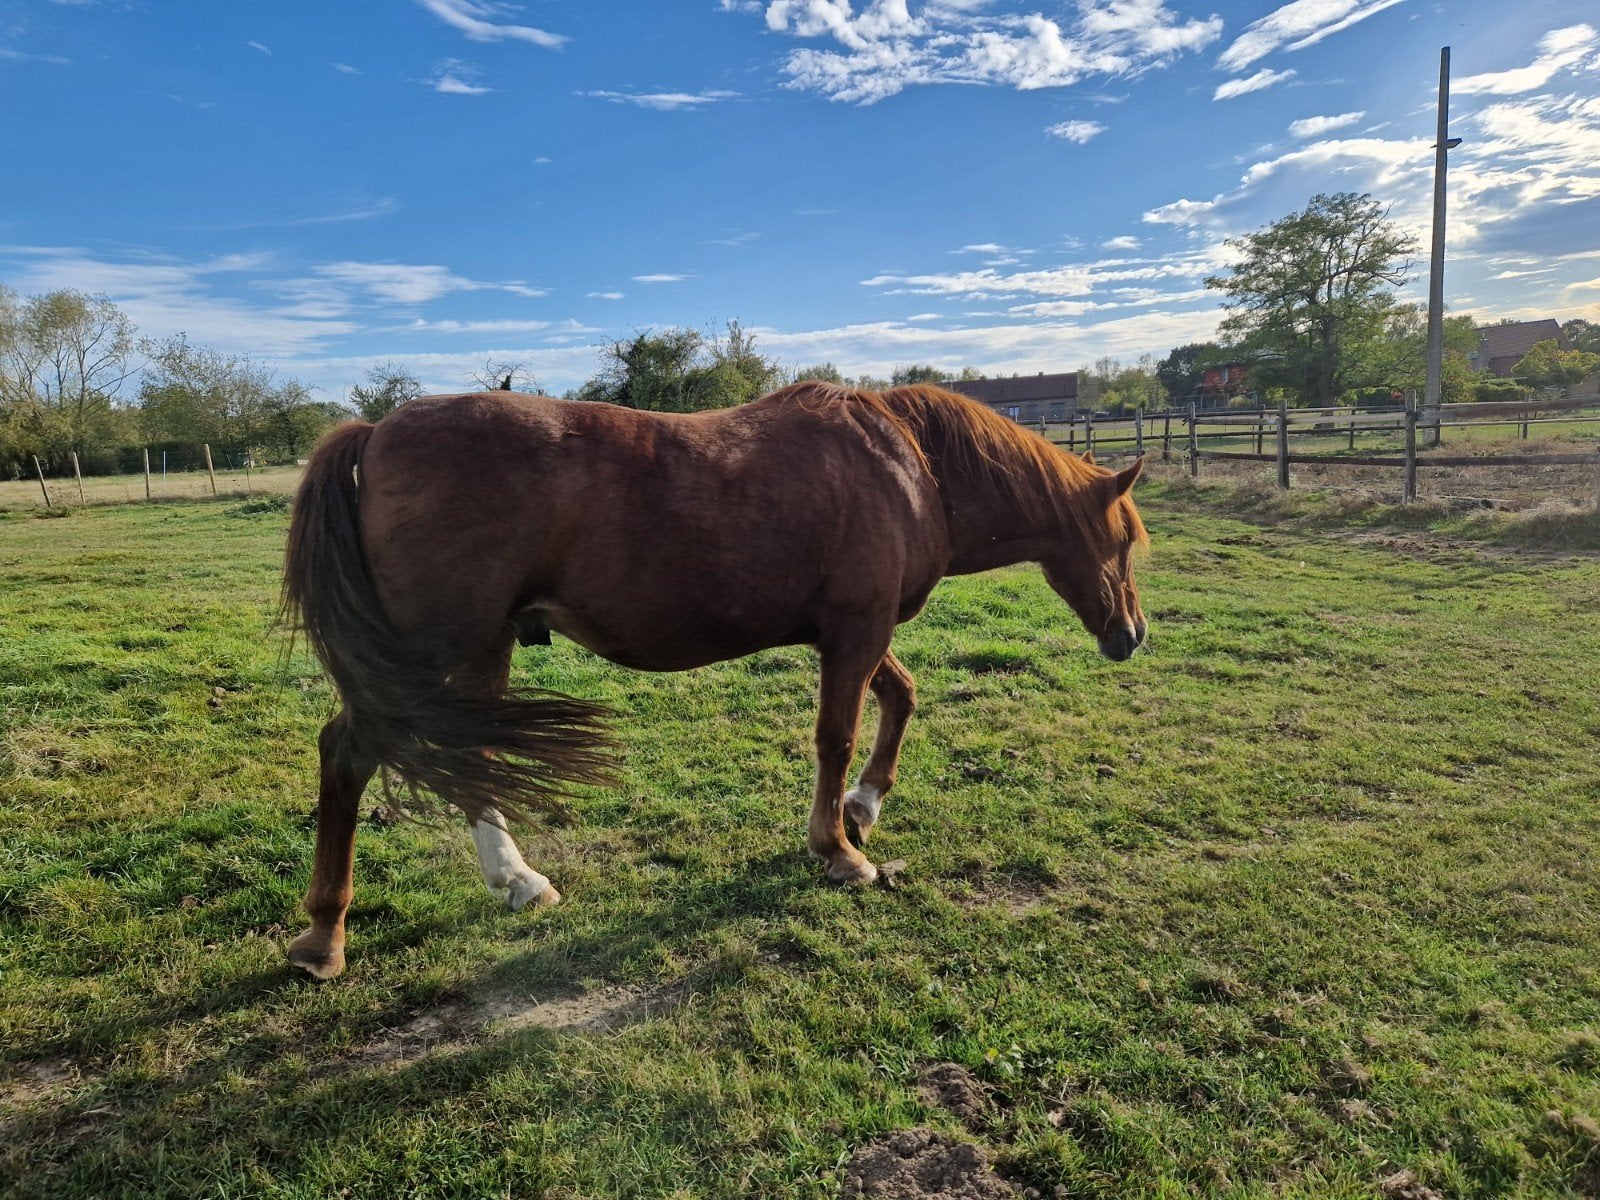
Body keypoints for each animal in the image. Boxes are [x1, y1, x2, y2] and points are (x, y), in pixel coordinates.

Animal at [280, 381, 1148, 978]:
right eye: (1125, 542)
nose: (1132, 636)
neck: (912, 465)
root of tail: (376, 432)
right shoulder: (857, 628)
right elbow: (835, 737)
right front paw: (838, 849)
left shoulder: (855, 632)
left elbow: (899, 697)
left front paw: (864, 808)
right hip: (429, 651)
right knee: (348, 752)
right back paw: (325, 934)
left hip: (483, 649)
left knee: (473, 760)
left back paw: (517, 879)